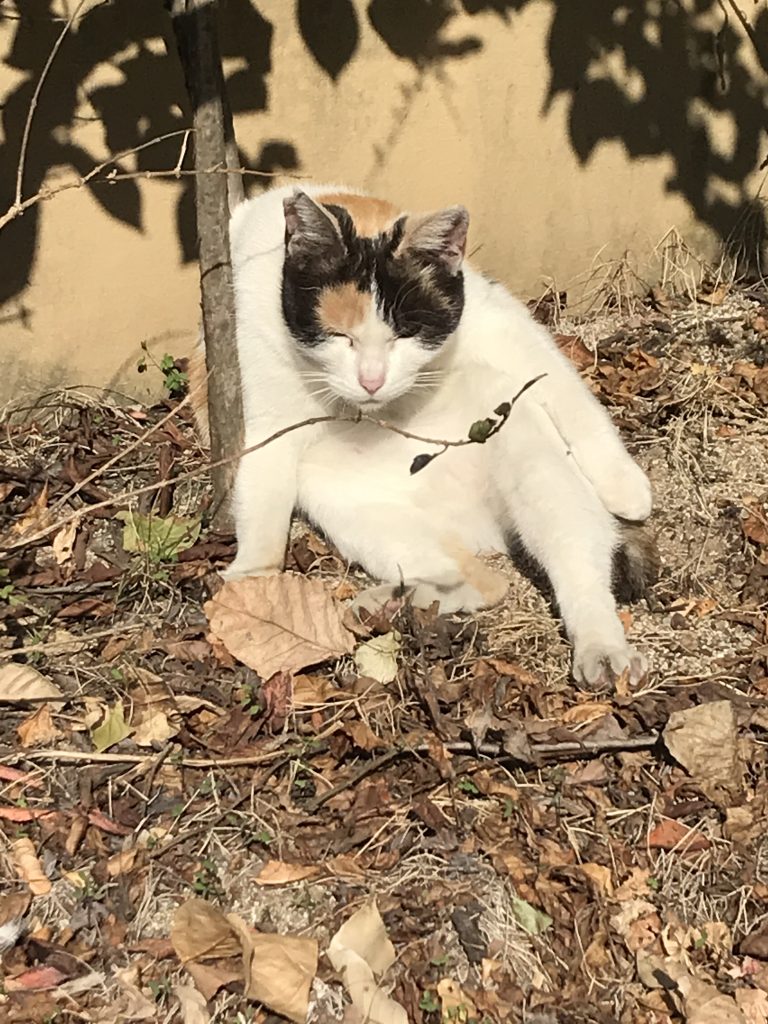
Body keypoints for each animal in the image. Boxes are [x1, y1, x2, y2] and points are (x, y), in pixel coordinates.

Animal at [191, 184, 655, 688]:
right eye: (338, 335)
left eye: (406, 333)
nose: (371, 381)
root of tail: (478, 526)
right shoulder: (264, 405)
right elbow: (262, 510)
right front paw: (250, 581)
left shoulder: (493, 320)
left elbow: (559, 381)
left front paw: (626, 486)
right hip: (345, 498)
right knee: (484, 581)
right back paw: (389, 603)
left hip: (520, 441)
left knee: (573, 545)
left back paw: (601, 646)